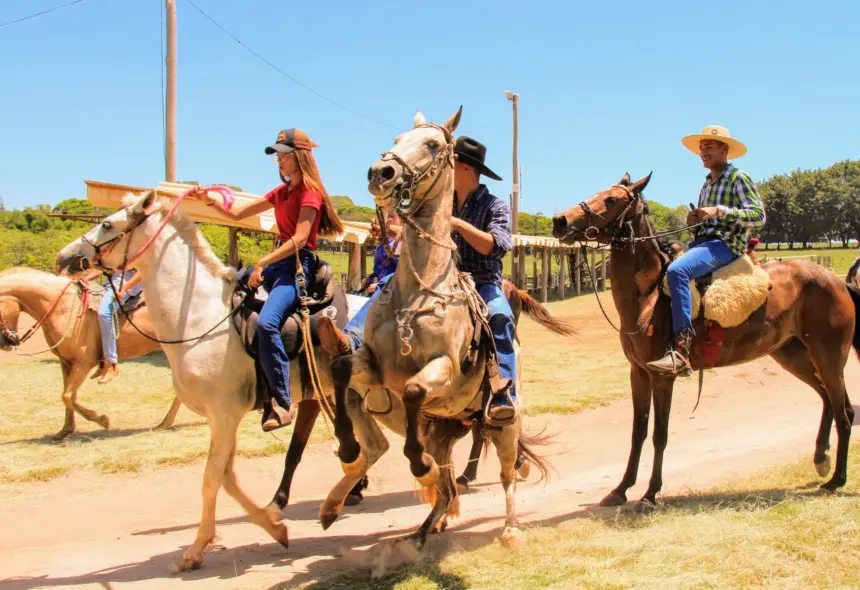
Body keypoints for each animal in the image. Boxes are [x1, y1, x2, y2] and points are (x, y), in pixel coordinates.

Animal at [0, 268, 180, 440]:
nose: (5, 342)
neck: (64, 308)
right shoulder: (66, 362)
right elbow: (69, 396)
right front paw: (65, 430)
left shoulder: (84, 362)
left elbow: (67, 396)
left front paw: (101, 420)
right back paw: (165, 423)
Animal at [326, 107, 576, 556]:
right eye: (397, 138)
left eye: (432, 145)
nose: (380, 172)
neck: (418, 290)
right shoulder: (372, 363)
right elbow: (340, 368)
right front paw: (349, 447)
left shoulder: (442, 368)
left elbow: (412, 390)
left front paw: (414, 465)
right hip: (440, 432)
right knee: (445, 487)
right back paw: (426, 527)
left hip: (505, 426)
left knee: (506, 475)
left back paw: (509, 528)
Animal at [556, 172, 856, 512]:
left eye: (611, 200)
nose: (560, 220)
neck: (649, 296)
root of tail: (837, 282)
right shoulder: (639, 373)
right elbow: (638, 433)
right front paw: (620, 490)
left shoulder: (663, 377)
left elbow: (659, 434)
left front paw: (650, 494)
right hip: (794, 356)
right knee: (828, 400)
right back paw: (821, 459)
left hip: (829, 356)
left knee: (845, 411)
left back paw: (836, 479)